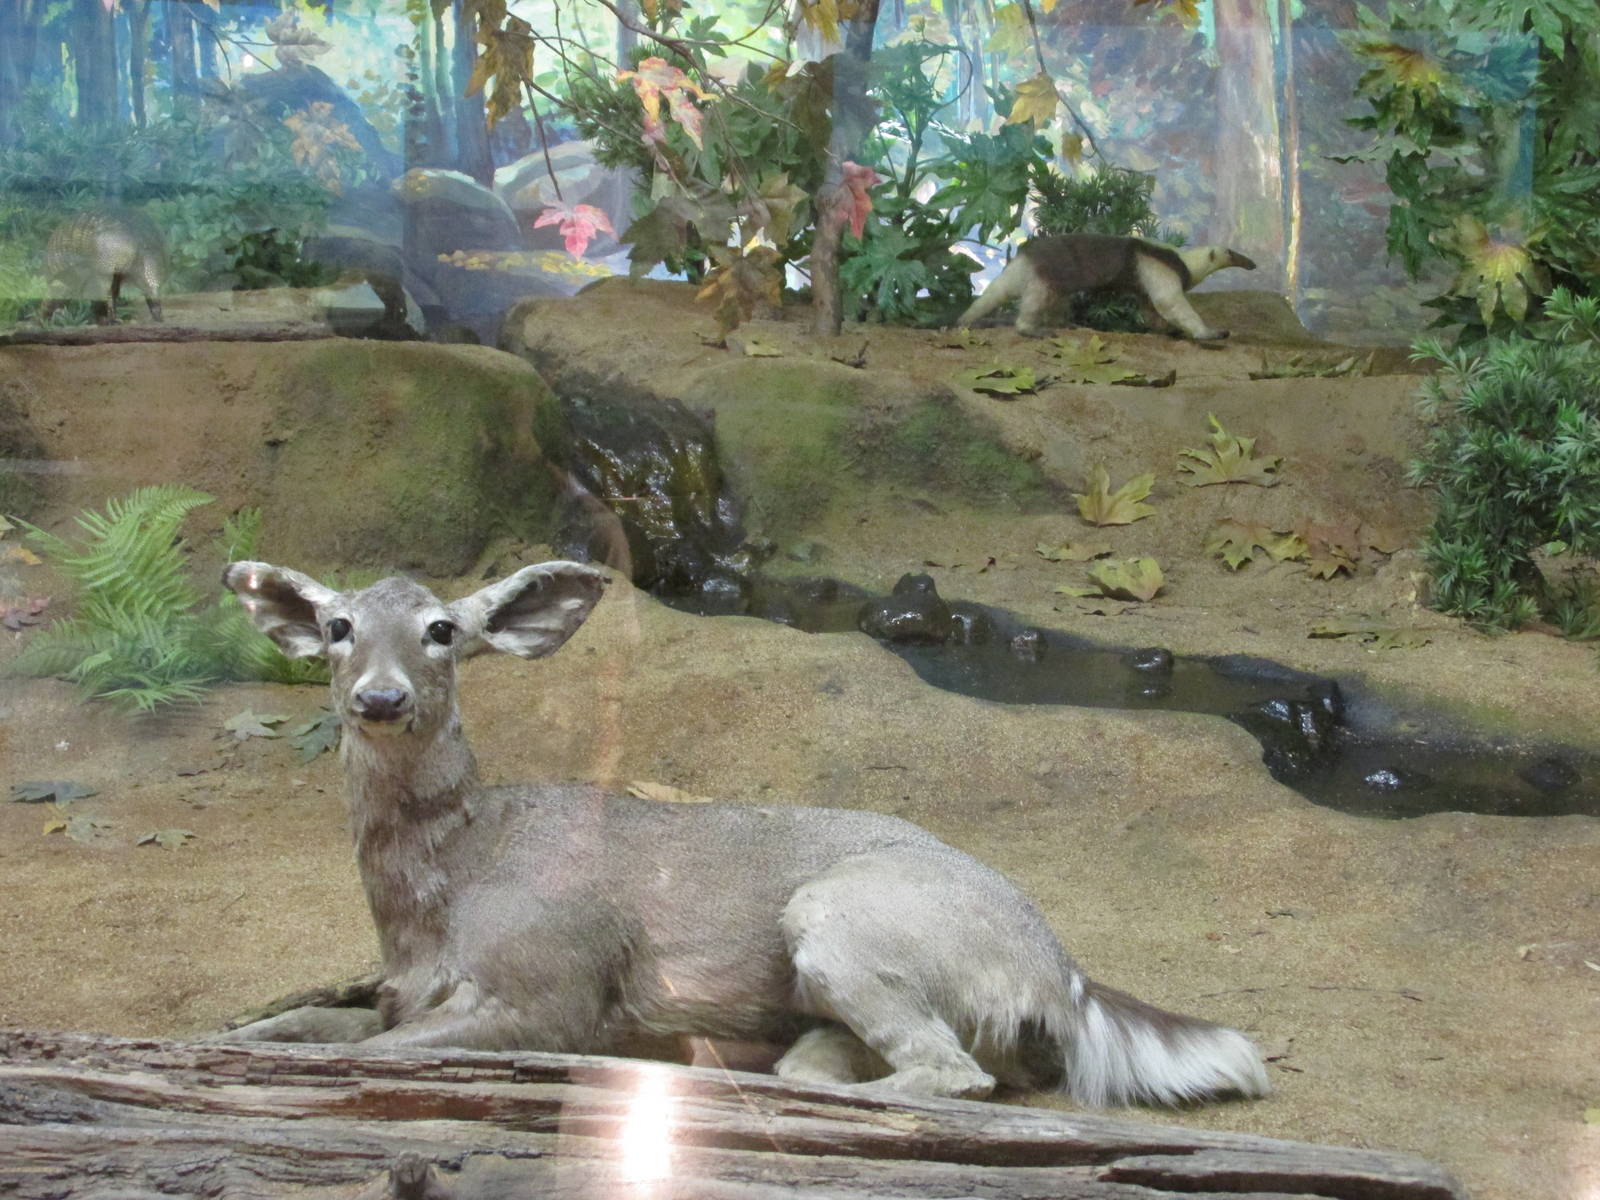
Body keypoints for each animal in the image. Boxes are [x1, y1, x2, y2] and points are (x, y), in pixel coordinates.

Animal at [219, 558, 1270, 1107]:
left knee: (952, 1076)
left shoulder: (555, 987)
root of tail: (1062, 974)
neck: (447, 893)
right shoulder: (402, 987)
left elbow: (367, 1053)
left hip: (841, 915)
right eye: (340, 626)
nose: (380, 698)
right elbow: (291, 1028)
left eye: (443, 630)